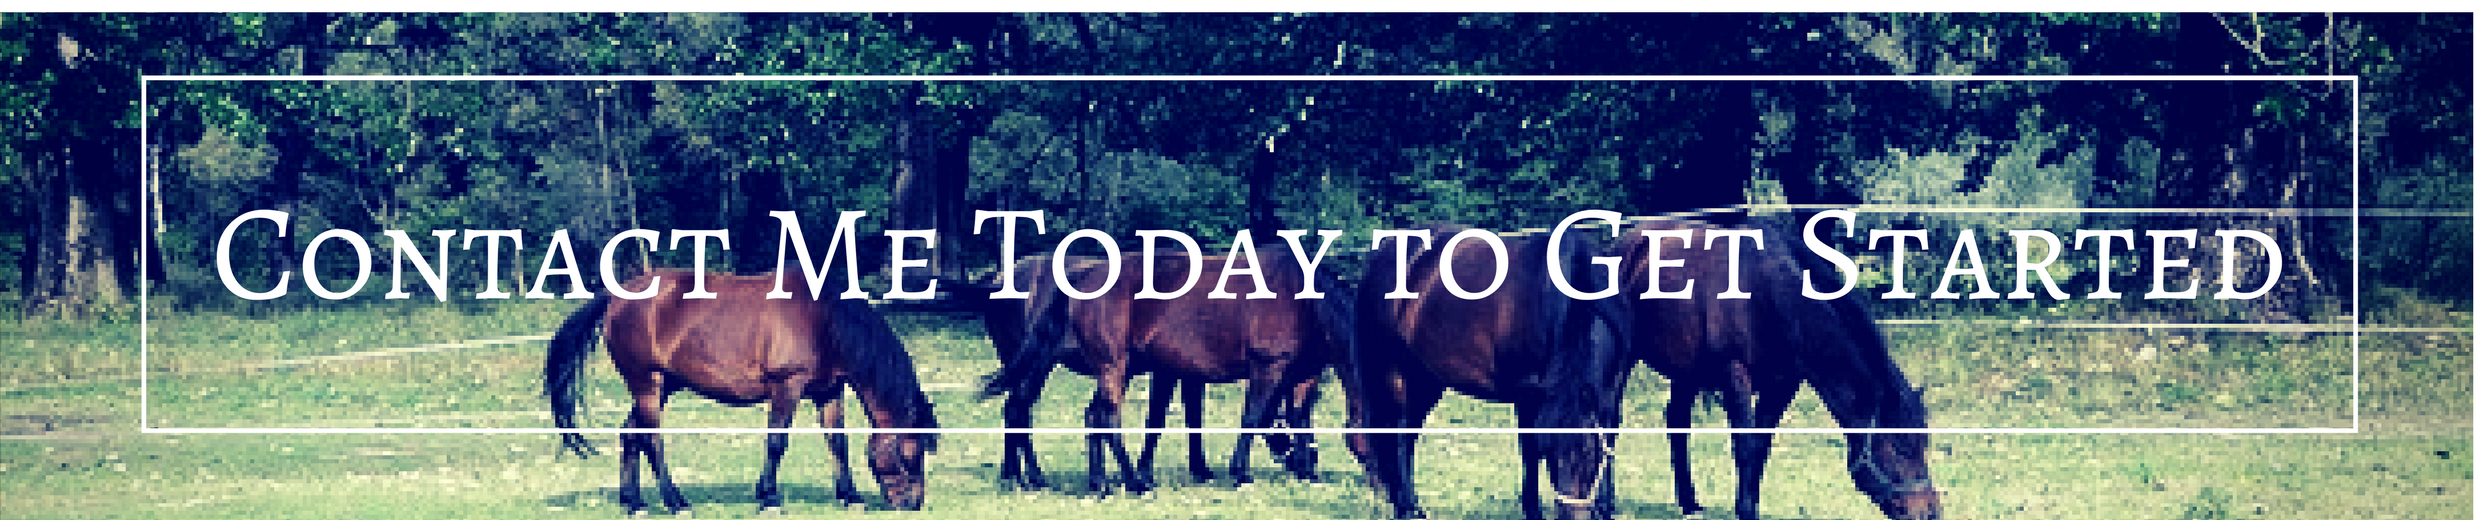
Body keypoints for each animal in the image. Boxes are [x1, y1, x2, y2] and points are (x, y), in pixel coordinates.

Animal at [543, 272, 942, 515]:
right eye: (913, 453)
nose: (913, 503)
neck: (825, 318)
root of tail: (615, 297)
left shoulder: (828, 391)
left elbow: (837, 443)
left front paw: (850, 497)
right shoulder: (787, 386)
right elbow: (776, 443)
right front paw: (769, 499)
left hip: (660, 387)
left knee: (630, 434)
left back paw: (634, 503)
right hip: (647, 384)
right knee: (651, 440)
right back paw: (676, 502)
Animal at [983, 248, 1334, 494]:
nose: (1313, 459)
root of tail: (1001, 279)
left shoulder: (1183, 374)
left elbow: (1189, 417)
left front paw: (1196, 469)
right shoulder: (1167, 373)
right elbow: (1159, 419)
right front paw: (1149, 473)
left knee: (1017, 409)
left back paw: (1014, 474)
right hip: (1039, 366)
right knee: (1020, 410)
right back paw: (1033, 476)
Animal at [1340, 227, 1626, 520]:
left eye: (1593, 457)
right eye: (1550, 456)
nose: (1573, 514)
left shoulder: (1611, 392)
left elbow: (1610, 440)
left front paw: (1605, 507)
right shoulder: (1529, 394)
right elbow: (1530, 450)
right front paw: (1533, 511)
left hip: (1424, 382)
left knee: (1406, 438)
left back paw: (1412, 507)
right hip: (1393, 376)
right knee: (1394, 438)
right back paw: (1406, 508)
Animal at [1606, 219, 1940, 520]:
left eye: (1923, 443)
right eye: (1899, 448)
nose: (1930, 512)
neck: (1769, 293)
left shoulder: (1782, 385)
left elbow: (1761, 447)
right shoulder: (1735, 377)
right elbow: (1745, 446)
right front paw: (1745, 511)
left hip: (1686, 371)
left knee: (1677, 423)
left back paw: (1689, 504)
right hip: (1626, 358)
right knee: (1611, 421)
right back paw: (1607, 503)